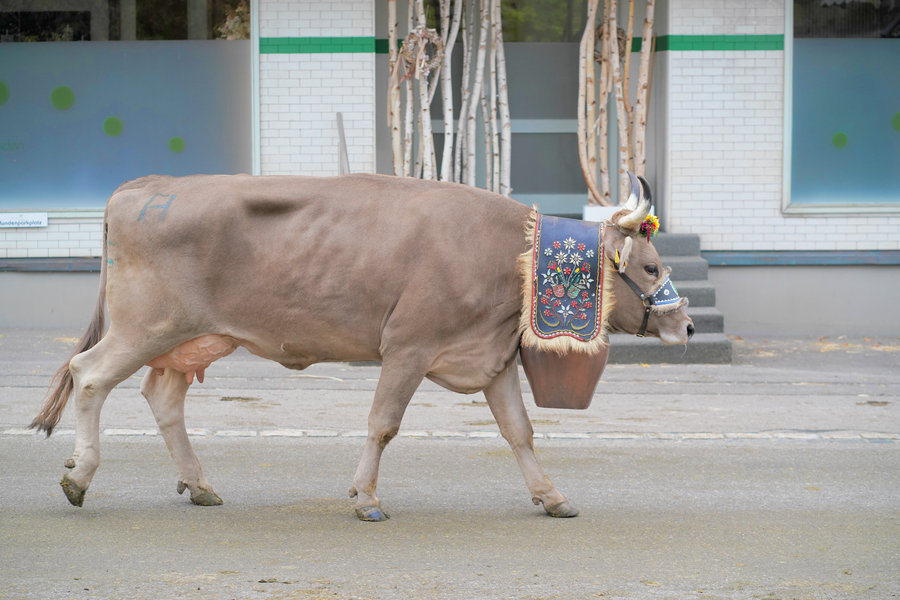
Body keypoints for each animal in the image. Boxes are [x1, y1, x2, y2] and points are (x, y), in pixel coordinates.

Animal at [31, 172, 693, 521]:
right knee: (88, 374)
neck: (508, 256)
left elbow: (519, 431)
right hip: (145, 326)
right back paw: (79, 477)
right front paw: (367, 496)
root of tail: (143, 187)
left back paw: (199, 485)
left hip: (192, 337)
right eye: (652, 266)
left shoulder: (491, 356)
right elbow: (383, 423)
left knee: (163, 399)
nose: (686, 327)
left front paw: (551, 496)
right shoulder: (409, 347)